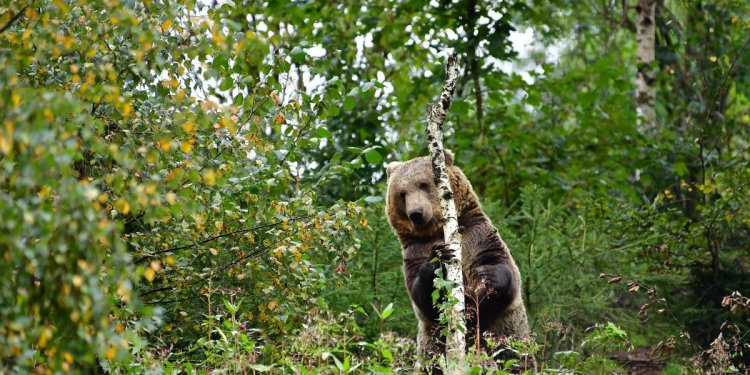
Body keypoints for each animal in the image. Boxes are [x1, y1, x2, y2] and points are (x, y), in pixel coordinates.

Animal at [388, 151, 536, 370]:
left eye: (423, 184)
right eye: (401, 193)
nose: (416, 213)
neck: (438, 231)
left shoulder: (478, 236)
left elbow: (505, 269)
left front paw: (488, 275)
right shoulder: (414, 250)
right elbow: (422, 296)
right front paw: (438, 259)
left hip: (509, 340)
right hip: (432, 348)